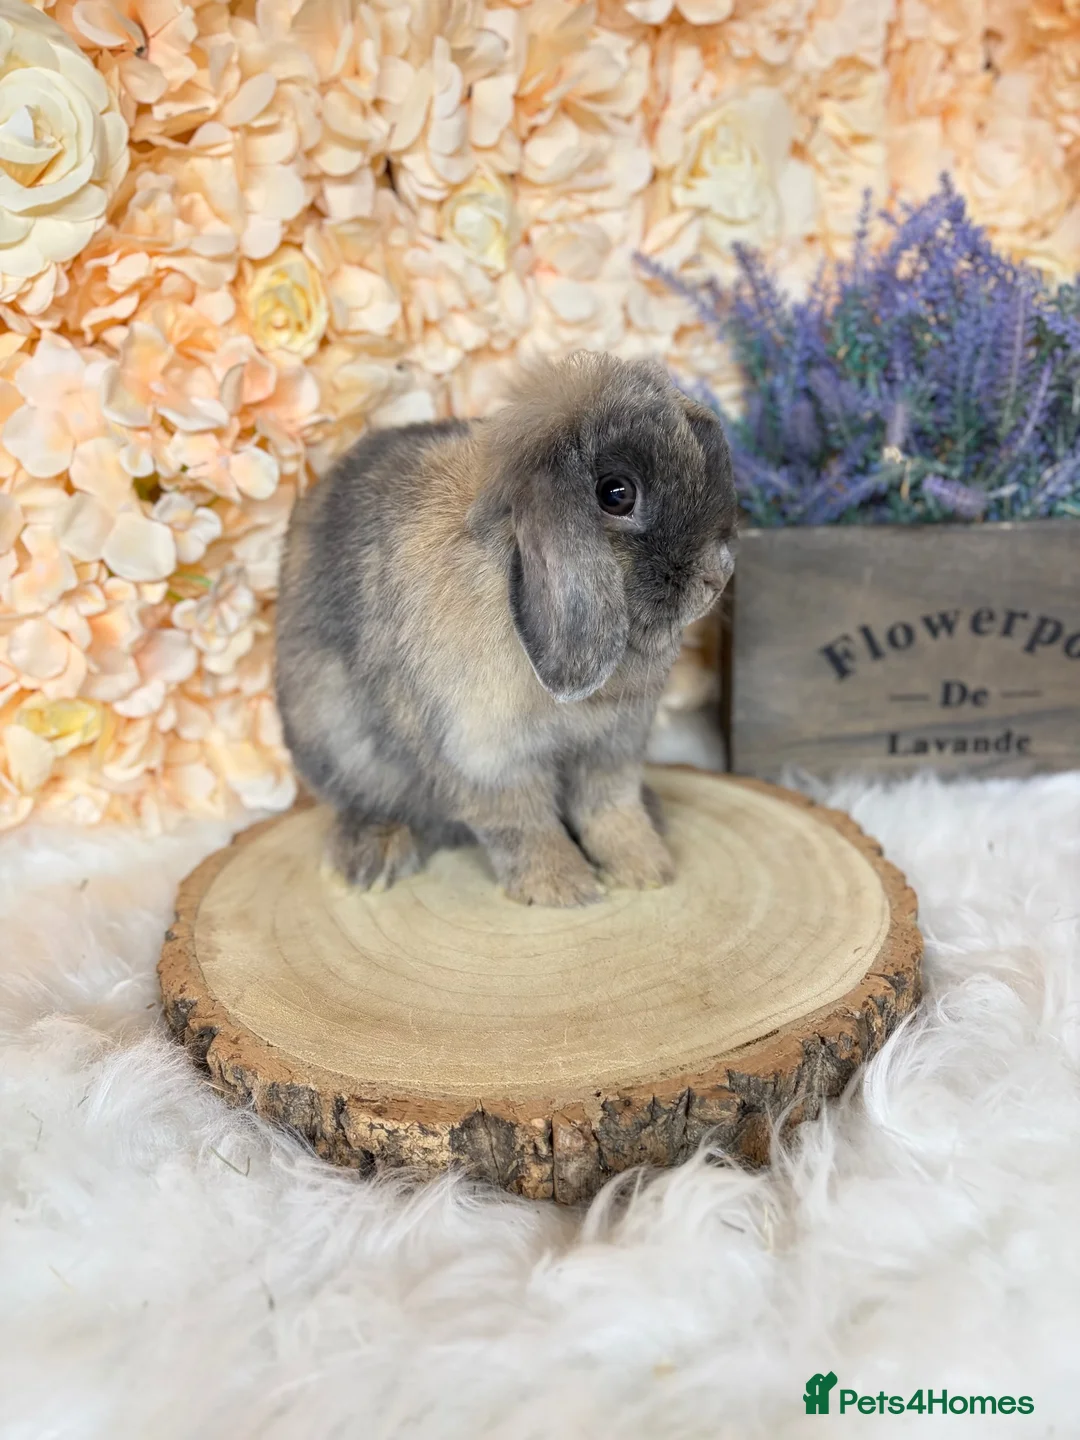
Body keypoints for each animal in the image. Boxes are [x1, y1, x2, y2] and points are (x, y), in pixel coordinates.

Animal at [275, 351, 738, 908]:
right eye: (616, 494)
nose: (718, 574)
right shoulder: (488, 758)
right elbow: (526, 826)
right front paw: (564, 890)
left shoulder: (612, 748)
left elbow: (611, 810)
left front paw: (646, 868)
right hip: (340, 747)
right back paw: (369, 858)